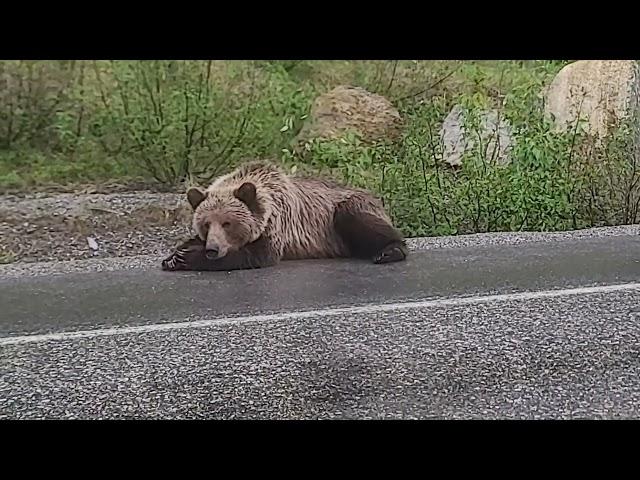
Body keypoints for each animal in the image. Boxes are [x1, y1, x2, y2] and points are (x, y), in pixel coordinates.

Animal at [162, 161, 408, 272]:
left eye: (227, 223)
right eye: (205, 224)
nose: (212, 249)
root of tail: (374, 196)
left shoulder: (277, 223)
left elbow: (257, 255)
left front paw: (186, 258)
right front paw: (174, 256)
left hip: (343, 210)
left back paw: (388, 252)